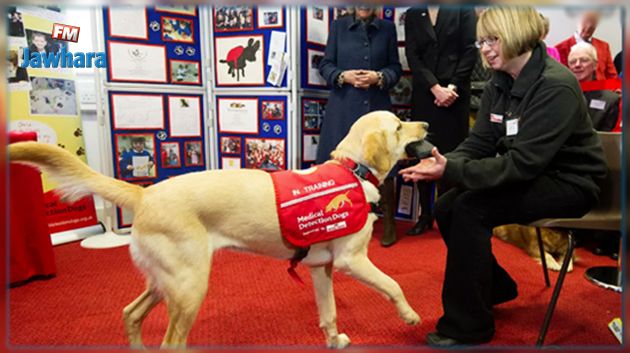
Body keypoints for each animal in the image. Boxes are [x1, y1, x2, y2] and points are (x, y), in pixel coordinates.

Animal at [11, 110, 430, 346]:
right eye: (399, 125)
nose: (426, 123)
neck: (352, 169)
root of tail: (145, 194)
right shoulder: (350, 261)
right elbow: (393, 284)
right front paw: (410, 316)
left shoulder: (320, 268)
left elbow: (329, 313)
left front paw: (335, 340)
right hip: (190, 284)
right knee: (170, 342)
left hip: (166, 281)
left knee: (131, 313)